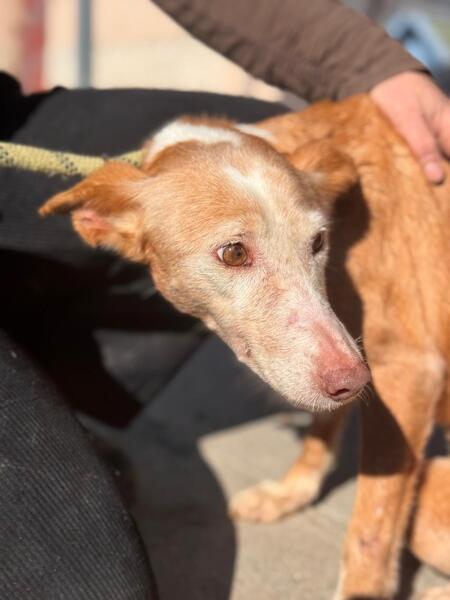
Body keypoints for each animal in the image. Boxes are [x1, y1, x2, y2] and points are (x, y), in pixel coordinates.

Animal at [40, 94, 450, 599]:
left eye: (318, 241)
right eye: (234, 253)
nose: (355, 383)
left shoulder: (406, 368)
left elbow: (370, 527)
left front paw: (359, 589)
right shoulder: (346, 351)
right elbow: (321, 429)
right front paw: (289, 493)